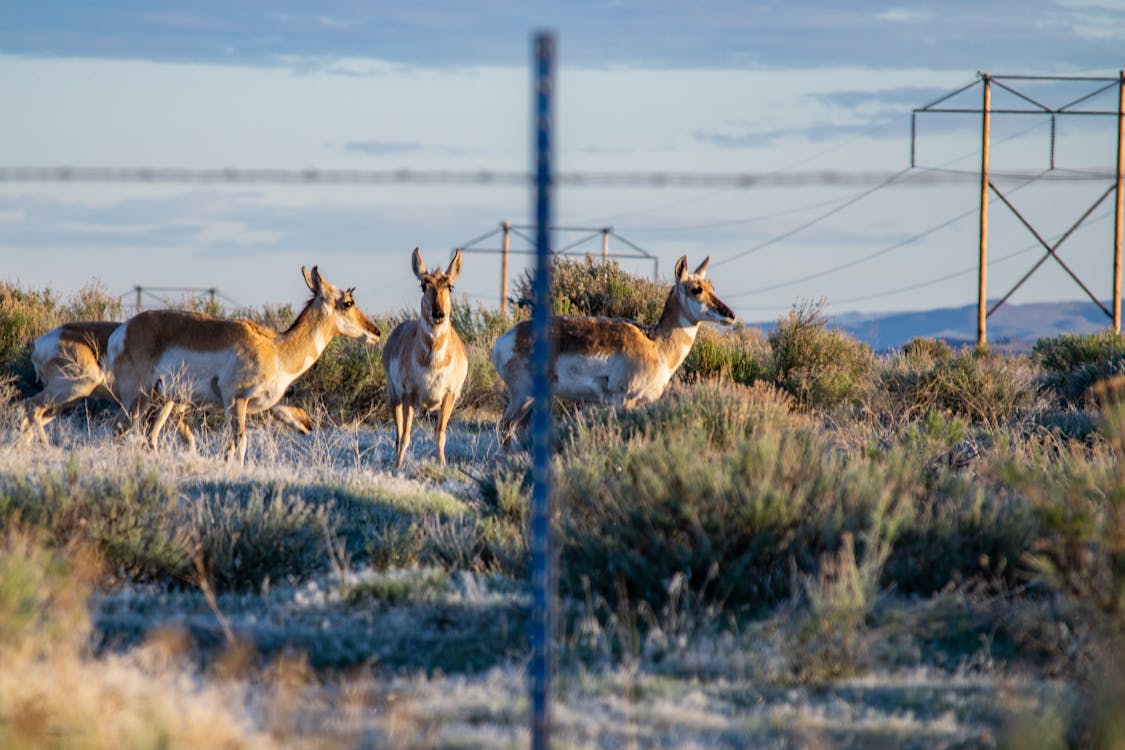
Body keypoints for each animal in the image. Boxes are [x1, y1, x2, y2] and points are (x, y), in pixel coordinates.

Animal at [106, 266, 378, 461]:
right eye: (348, 302)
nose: (375, 331)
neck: (276, 349)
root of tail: (122, 331)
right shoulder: (236, 401)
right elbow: (241, 445)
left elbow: (231, 448)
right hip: (138, 397)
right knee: (119, 429)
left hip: (162, 401)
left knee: (148, 436)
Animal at [378, 247, 465, 470]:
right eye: (424, 285)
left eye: (450, 286)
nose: (438, 313)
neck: (433, 362)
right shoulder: (408, 394)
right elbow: (405, 436)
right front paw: (398, 467)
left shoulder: (449, 395)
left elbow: (440, 435)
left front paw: (442, 465)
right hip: (394, 396)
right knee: (398, 433)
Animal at [492, 256, 738, 445]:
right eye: (696, 289)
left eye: (712, 287)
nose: (730, 314)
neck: (656, 345)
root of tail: (507, 337)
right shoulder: (624, 400)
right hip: (523, 395)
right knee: (503, 428)